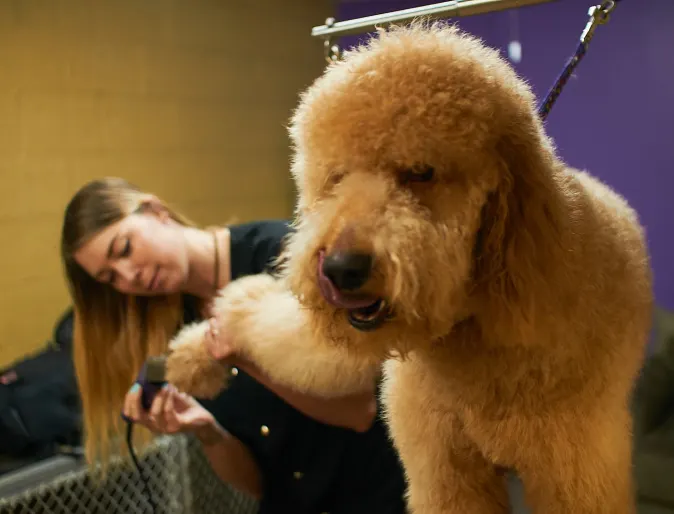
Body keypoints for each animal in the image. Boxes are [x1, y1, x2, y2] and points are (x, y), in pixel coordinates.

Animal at [167, 23, 652, 512]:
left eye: (421, 172)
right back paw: (195, 351)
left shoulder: (575, 466)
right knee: (257, 313)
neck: (475, 327)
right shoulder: (442, 467)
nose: (339, 269)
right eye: (337, 177)